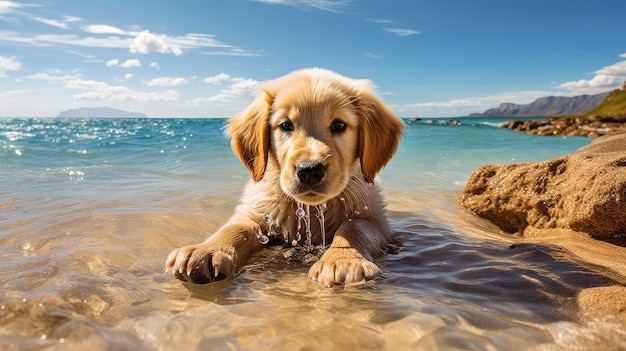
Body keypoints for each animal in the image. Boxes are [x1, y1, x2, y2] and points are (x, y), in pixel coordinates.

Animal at [166, 67, 402, 288]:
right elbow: (236, 227)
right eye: (286, 125)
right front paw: (206, 251)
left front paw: (342, 261)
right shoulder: (258, 209)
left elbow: (354, 227)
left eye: (339, 125)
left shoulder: (376, 217)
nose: (309, 171)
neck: (312, 210)